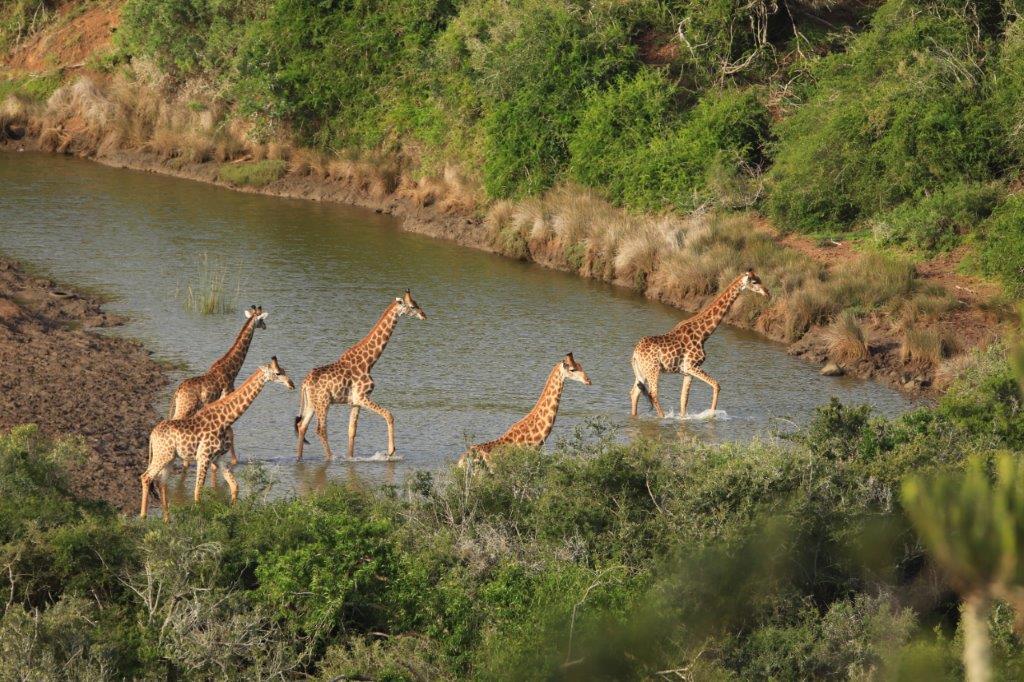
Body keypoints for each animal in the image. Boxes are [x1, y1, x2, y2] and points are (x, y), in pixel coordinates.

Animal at [139, 352, 296, 518]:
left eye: (284, 370)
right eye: (278, 373)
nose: (291, 384)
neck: (224, 420)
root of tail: (152, 435)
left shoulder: (218, 458)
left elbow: (235, 486)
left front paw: (232, 513)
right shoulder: (203, 457)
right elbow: (197, 493)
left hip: (169, 458)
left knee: (161, 482)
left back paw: (166, 520)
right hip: (163, 455)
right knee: (146, 477)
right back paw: (143, 517)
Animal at [167, 303, 266, 466]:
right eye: (261, 319)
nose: (265, 326)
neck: (231, 369)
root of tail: (178, 391)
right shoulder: (227, 397)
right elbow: (231, 430)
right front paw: (234, 460)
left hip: (182, 406)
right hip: (186, 407)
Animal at [294, 288, 425, 458]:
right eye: (413, 306)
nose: (423, 314)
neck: (369, 362)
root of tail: (304, 384)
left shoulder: (355, 402)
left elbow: (352, 431)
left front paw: (350, 457)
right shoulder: (362, 397)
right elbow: (389, 415)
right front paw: (391, 451)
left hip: (312, 403)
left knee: (302, 426)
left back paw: (299, 457)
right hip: (324, 402)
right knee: (320, 429)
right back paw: (331, 457)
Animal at [626, 268, 770, 417]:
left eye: (759, 279)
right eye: (754, 282)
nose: (767, 292)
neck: (704, 334)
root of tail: (635, 354)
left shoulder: (687, 372)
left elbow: (684, 400)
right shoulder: (691, 366)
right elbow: (716, 385)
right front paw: (711, 415)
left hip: (642, 372)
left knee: (634, 393)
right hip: (653, 370)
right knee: (653, 394)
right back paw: (663, 417)